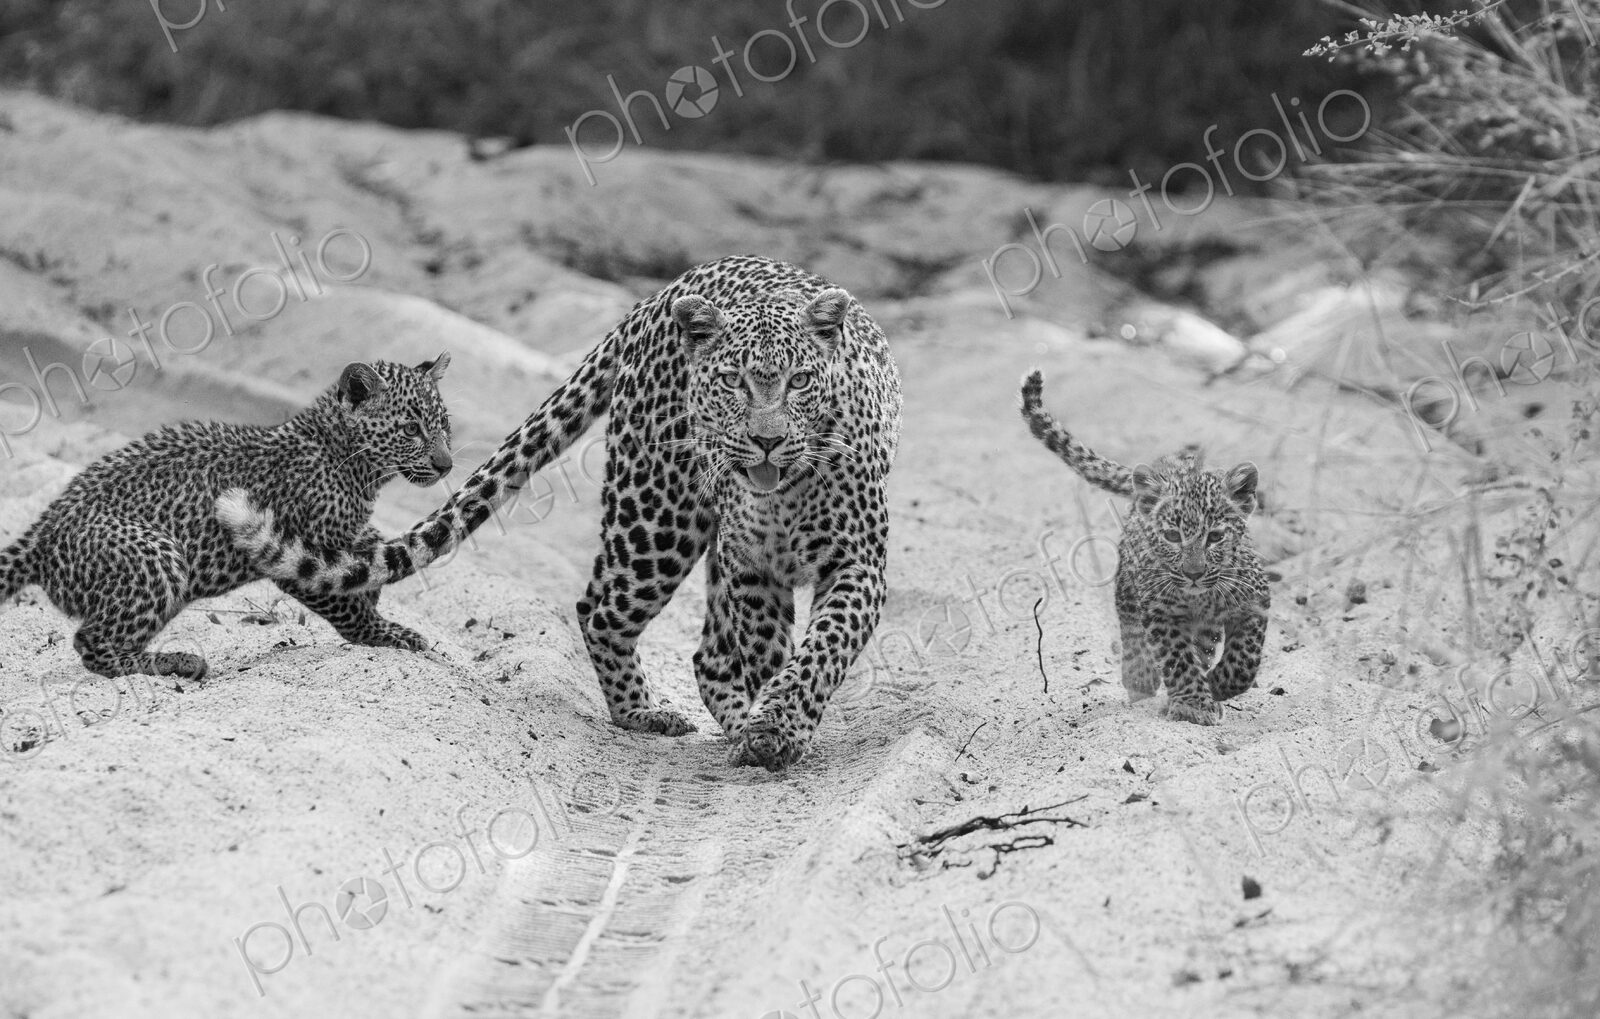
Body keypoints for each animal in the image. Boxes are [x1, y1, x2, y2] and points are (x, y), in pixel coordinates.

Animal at [0, 355, 456, 682]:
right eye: (411, 429)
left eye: (445, 424)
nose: (447, 464)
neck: (351, 462)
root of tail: (41, 535)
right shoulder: (296, 557)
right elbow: (347, 605)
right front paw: (390, 635)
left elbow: (366, 548)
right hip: (157, 556)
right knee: (92, 643)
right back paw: (178, 663)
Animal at [215, 255, 903, 771]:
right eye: (734, 381)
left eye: (799, 382)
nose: (765, 440)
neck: (787, 487)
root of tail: (667, 291)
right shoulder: (751, 568)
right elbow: (767, 652)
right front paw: (766, 732)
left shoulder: (856, 563)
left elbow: (822, 647)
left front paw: (775, 727)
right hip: (658, 516)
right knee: (607, 612)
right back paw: (645, 713)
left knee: (705, 651)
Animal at [1020, 368, 1270, 725]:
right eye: (1173, 537)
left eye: (1215, 537)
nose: (1193, 573)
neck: (1201, 597)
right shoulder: (1162, 614)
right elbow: (1178, 659)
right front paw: (1194, 703)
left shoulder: (1255, 602)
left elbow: (1245, 660)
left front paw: (1218, 686)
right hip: (1128, 583)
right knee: (1131, 628)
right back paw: (1140, 677)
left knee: (1204, 645)